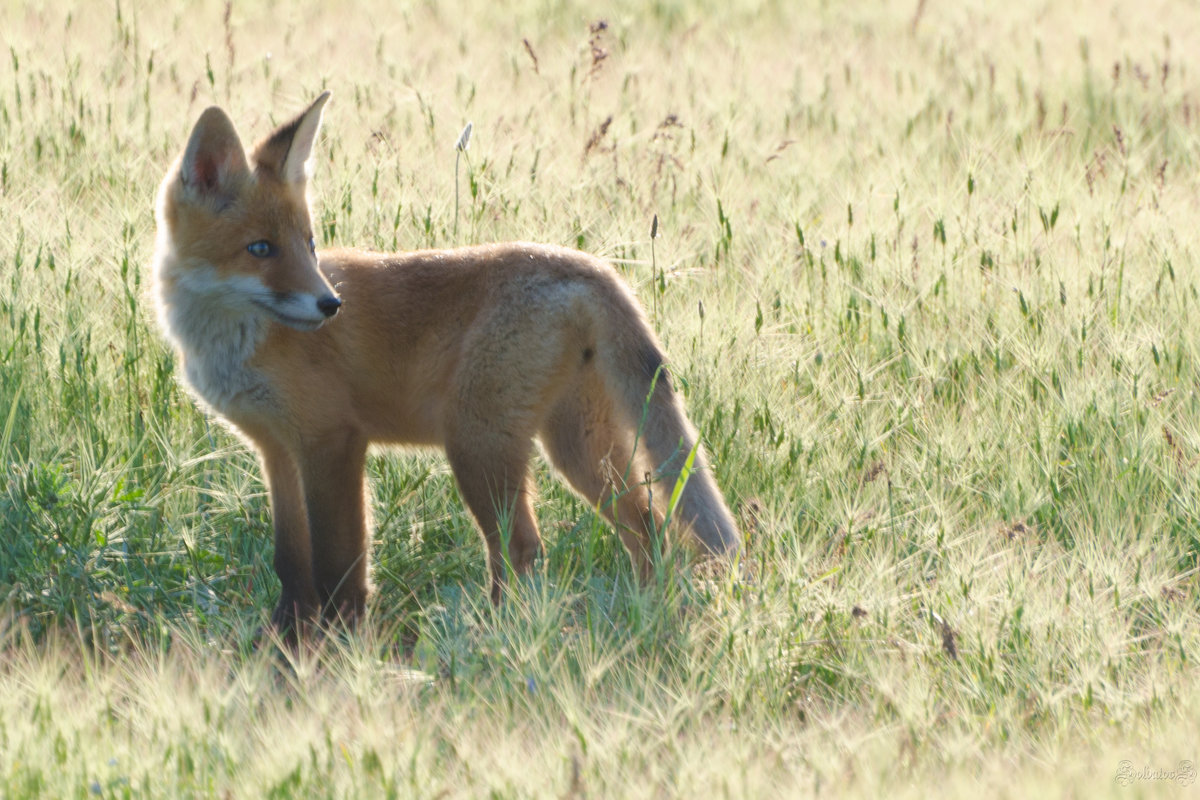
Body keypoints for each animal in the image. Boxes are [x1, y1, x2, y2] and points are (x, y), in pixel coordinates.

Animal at [152, 92, 739, 633]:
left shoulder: (333, 440)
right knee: (648, 524)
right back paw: (644, 615)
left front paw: (342, 644)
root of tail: (589, 264)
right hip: (575, 448)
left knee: (523, 547)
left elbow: (339, 566)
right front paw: (285, 643)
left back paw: (497, 639)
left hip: (477, 445)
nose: (330, 305)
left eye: (309, 245)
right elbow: (291, 564)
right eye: (260, 249)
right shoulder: (277, 449)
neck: (233, 343)